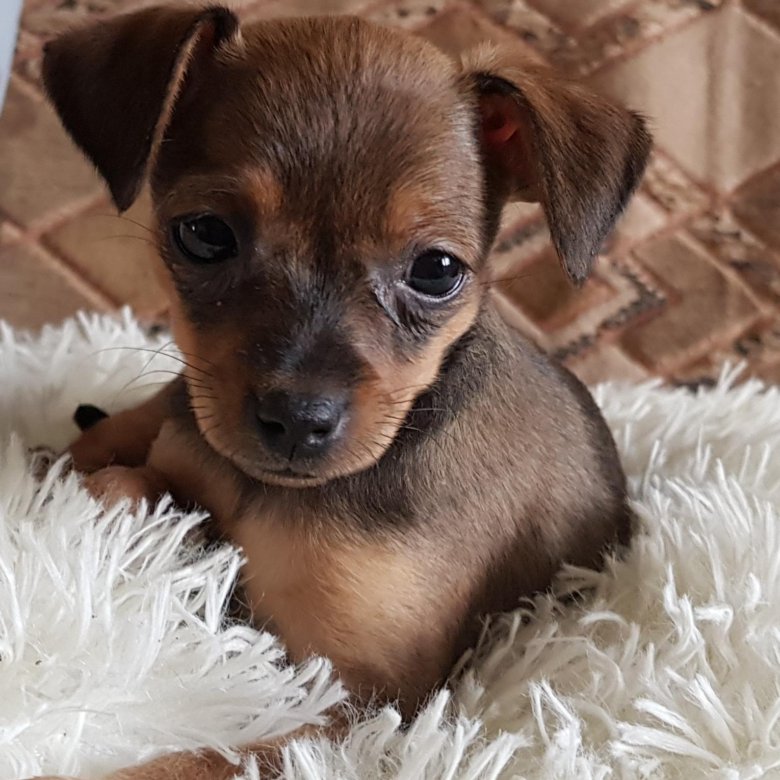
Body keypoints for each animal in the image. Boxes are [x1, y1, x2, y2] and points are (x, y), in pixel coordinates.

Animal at [36, 5, 651, 778]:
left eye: (437, 270)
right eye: (203, 234)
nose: (299, 420)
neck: (264, 495)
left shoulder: (362, 712)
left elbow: (210, 758)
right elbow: (133, 484)